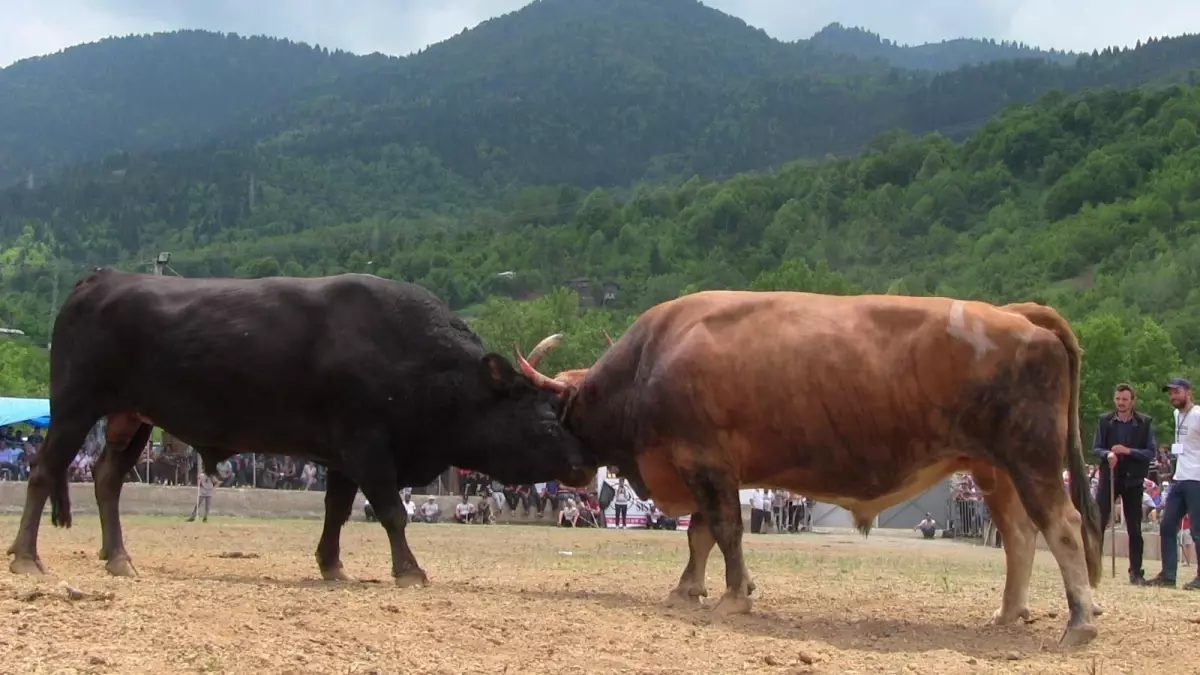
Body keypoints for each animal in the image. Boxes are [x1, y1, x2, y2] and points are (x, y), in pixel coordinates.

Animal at [4, 267, 595, 583]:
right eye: (546, 420)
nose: (586, 465)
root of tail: (102, 277)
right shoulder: (367, 446)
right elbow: (391, 512)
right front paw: (409, 571)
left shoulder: (344, 456)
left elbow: (337, 510)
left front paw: (332, 566)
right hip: (75, 405)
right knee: (44, 471)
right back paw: (28, 558)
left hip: (133, 418)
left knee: (106, 480)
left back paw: (119, 558)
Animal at [516, 290, 1104, 648]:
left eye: (549, 415)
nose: (564, 475)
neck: (649, 362)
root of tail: (1017, 313)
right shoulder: (704, 470)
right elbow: (700, 535)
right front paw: (688, 589)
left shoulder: (705, 462)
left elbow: (725, 531)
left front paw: (734, 596)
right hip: (994, 469)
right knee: (1020, 536)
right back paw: (1007, 614)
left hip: (1032, 460)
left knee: (1063, 527)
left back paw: (1079, 621)